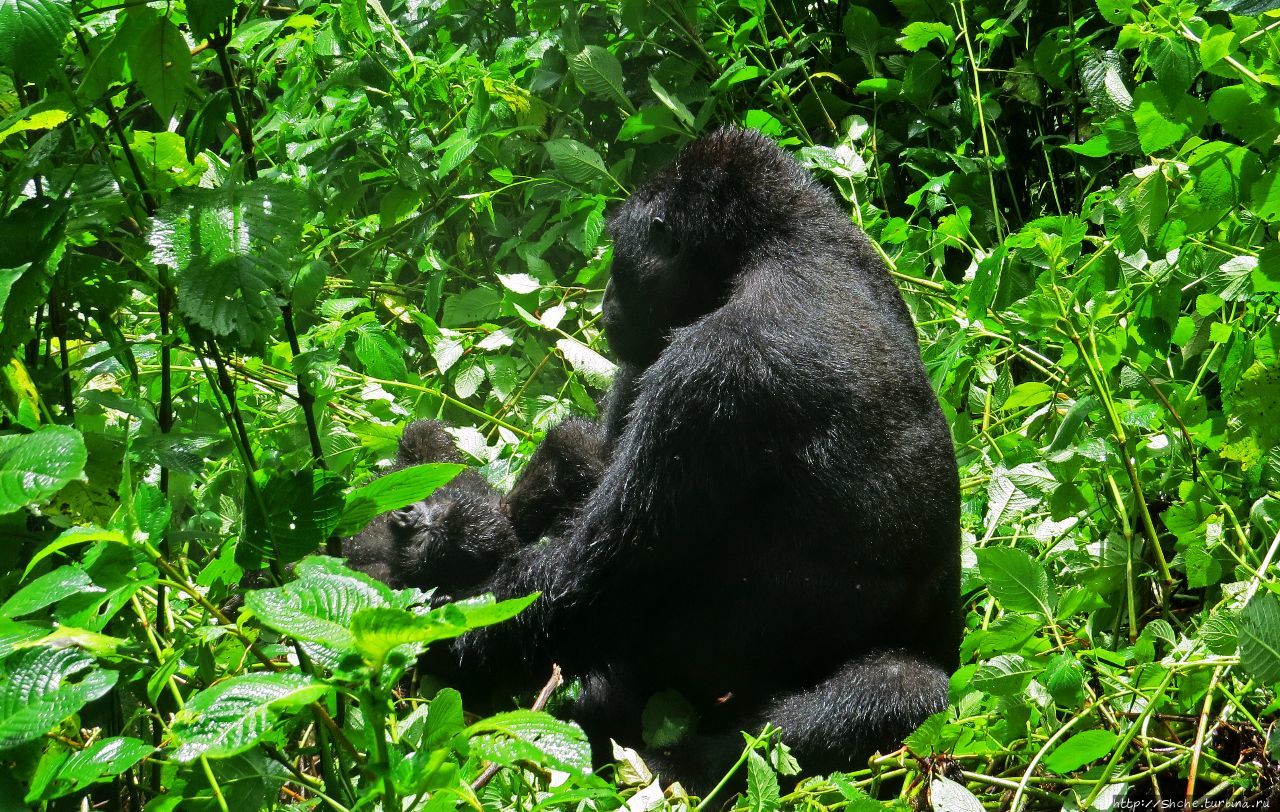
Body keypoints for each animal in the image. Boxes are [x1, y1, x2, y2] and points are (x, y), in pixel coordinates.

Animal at [343, 128, 962, 788]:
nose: (606, 303)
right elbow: (580, 459)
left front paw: (431, 635)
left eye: (621, 257)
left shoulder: (709, 373)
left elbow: (594, 583)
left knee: (889, 695)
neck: (781, 245)